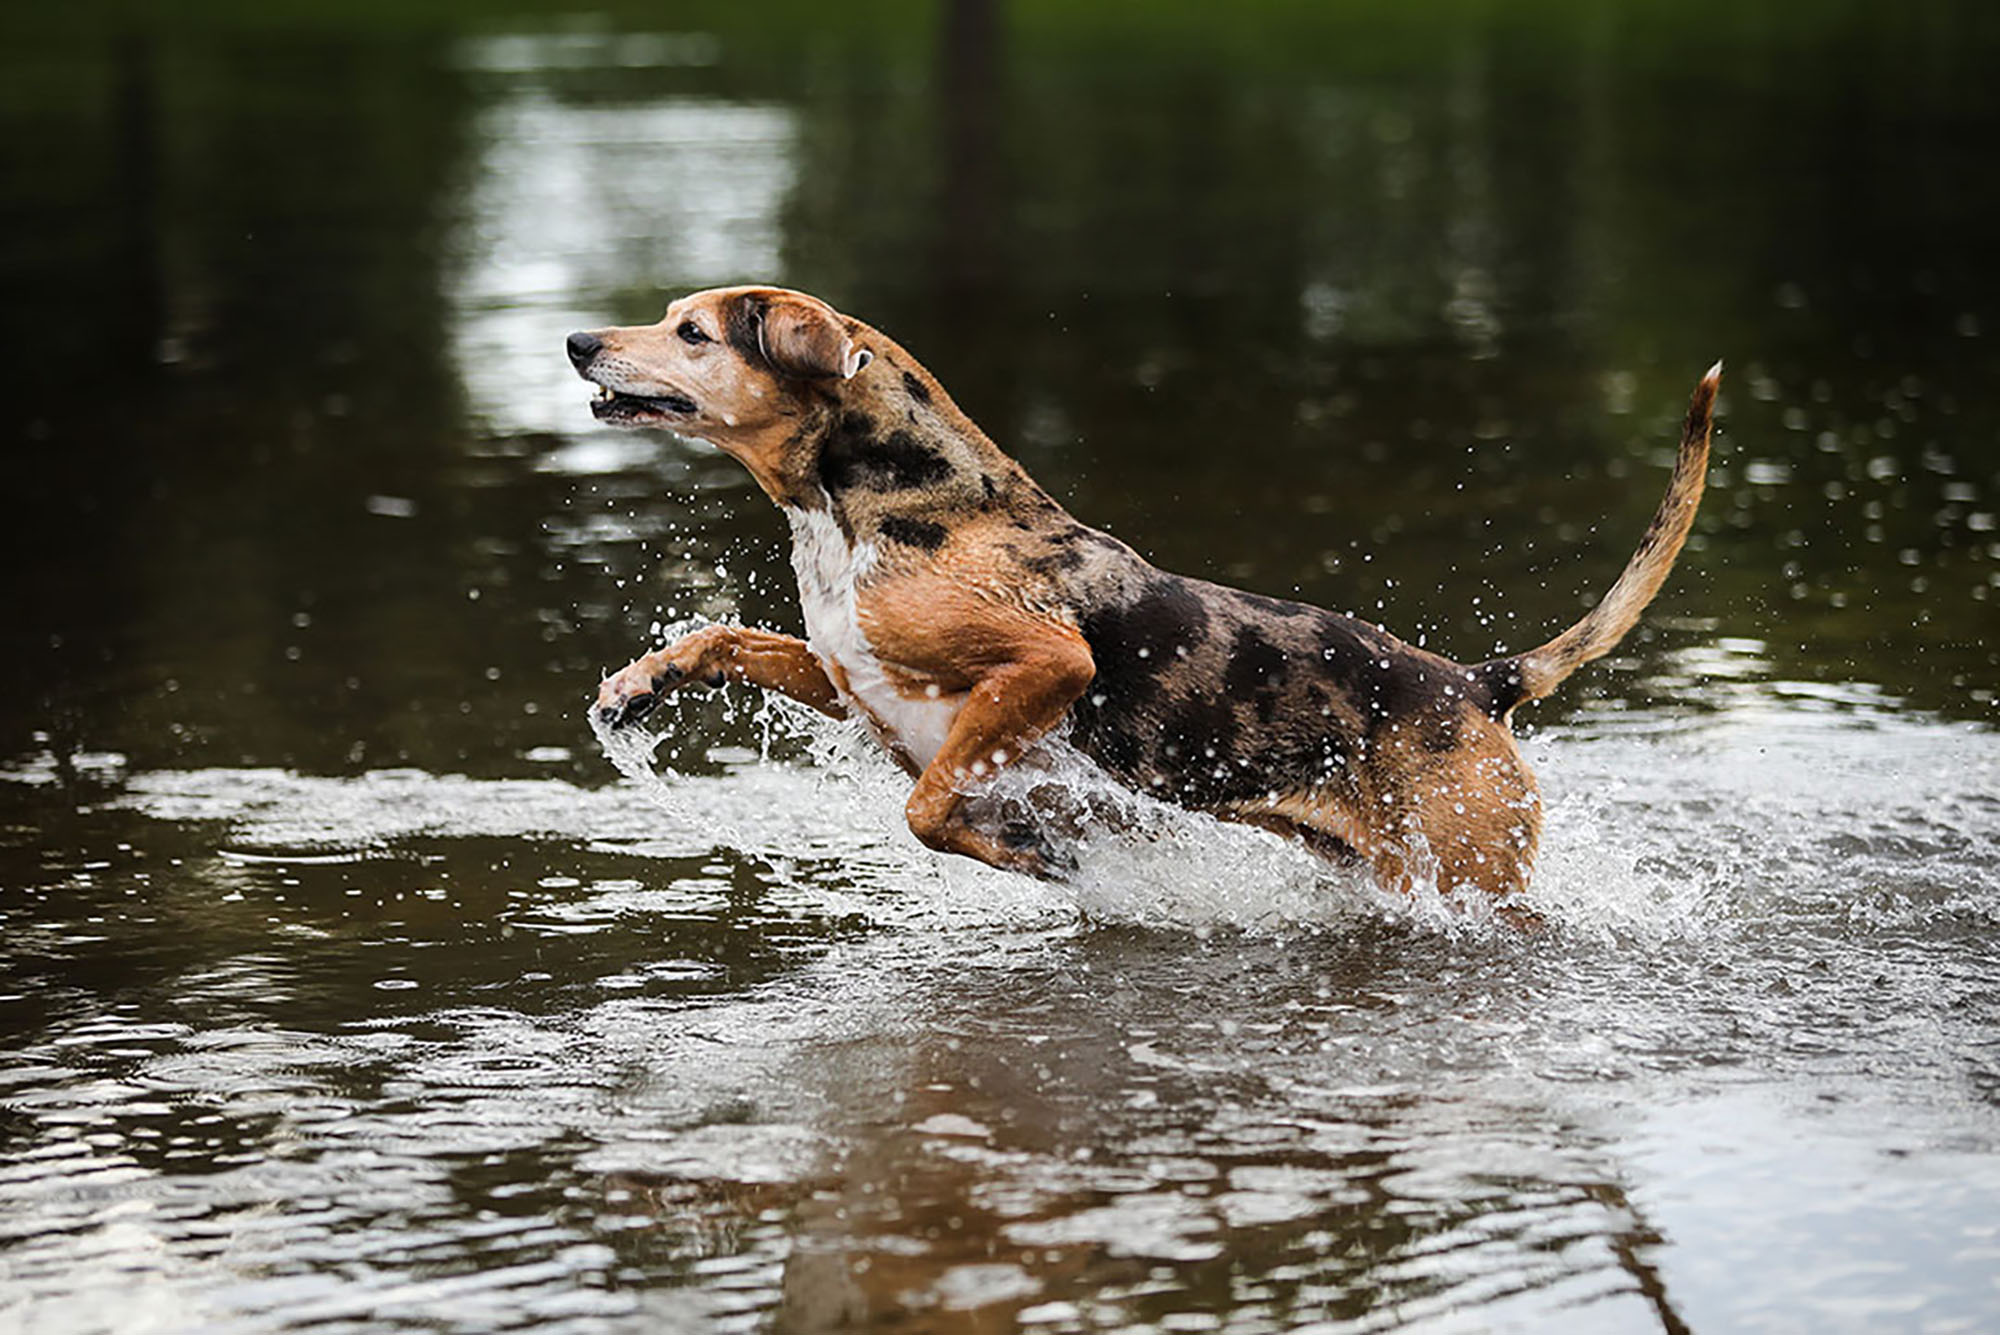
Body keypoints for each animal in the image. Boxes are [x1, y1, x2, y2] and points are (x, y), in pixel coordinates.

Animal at [568, 289, 1720, 895]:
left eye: (692, 334)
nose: (580, 340)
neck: (872, 503)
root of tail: (1477, 683)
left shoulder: (1046, 666)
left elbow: (926, 802)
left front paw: (1022, 849)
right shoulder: (852, 673)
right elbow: (727, 633)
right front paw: (639, 682)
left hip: (1468, 874)